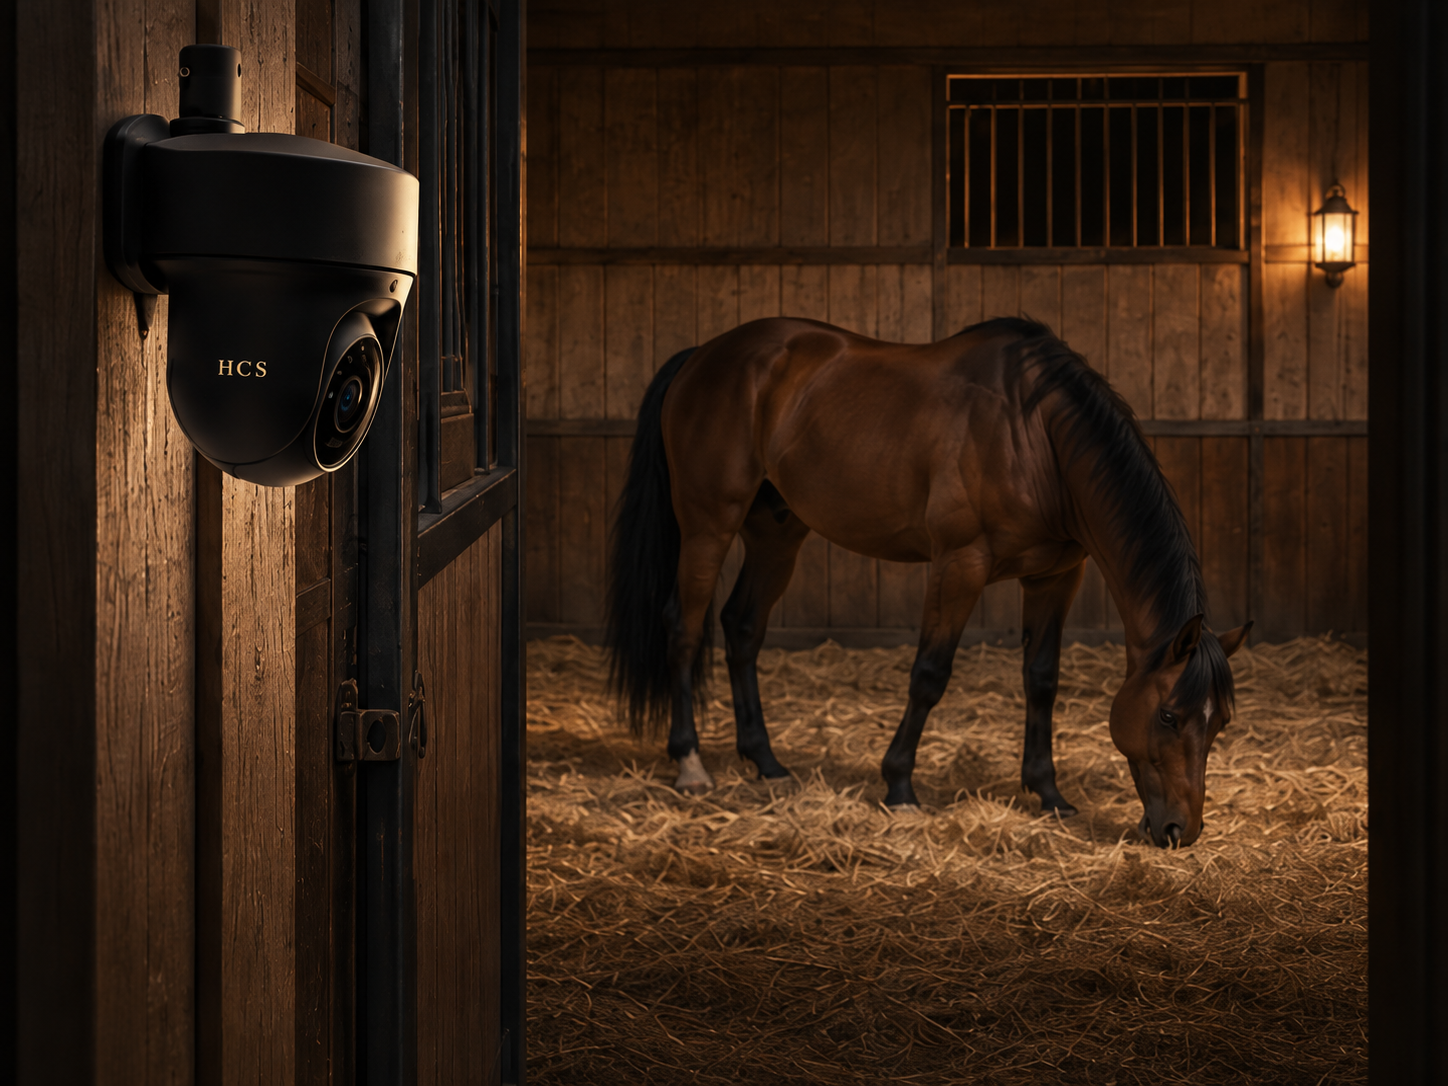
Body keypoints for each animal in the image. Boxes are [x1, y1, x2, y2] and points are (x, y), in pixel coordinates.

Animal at [604, 316, 1251, 848]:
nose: (1180, 831)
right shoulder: (959, 566)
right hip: (708, 524)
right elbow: (929, 675)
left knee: (742, 628)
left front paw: (1047, 793)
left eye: (1219, 722)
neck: (1037, 439)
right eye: (1167, 716)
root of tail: (702, 355)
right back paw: (690, 764)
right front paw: (899, 787)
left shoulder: (1055, 576)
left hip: (776, 531)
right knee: (684, 628)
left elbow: (1042, 680)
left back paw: (765, 762)